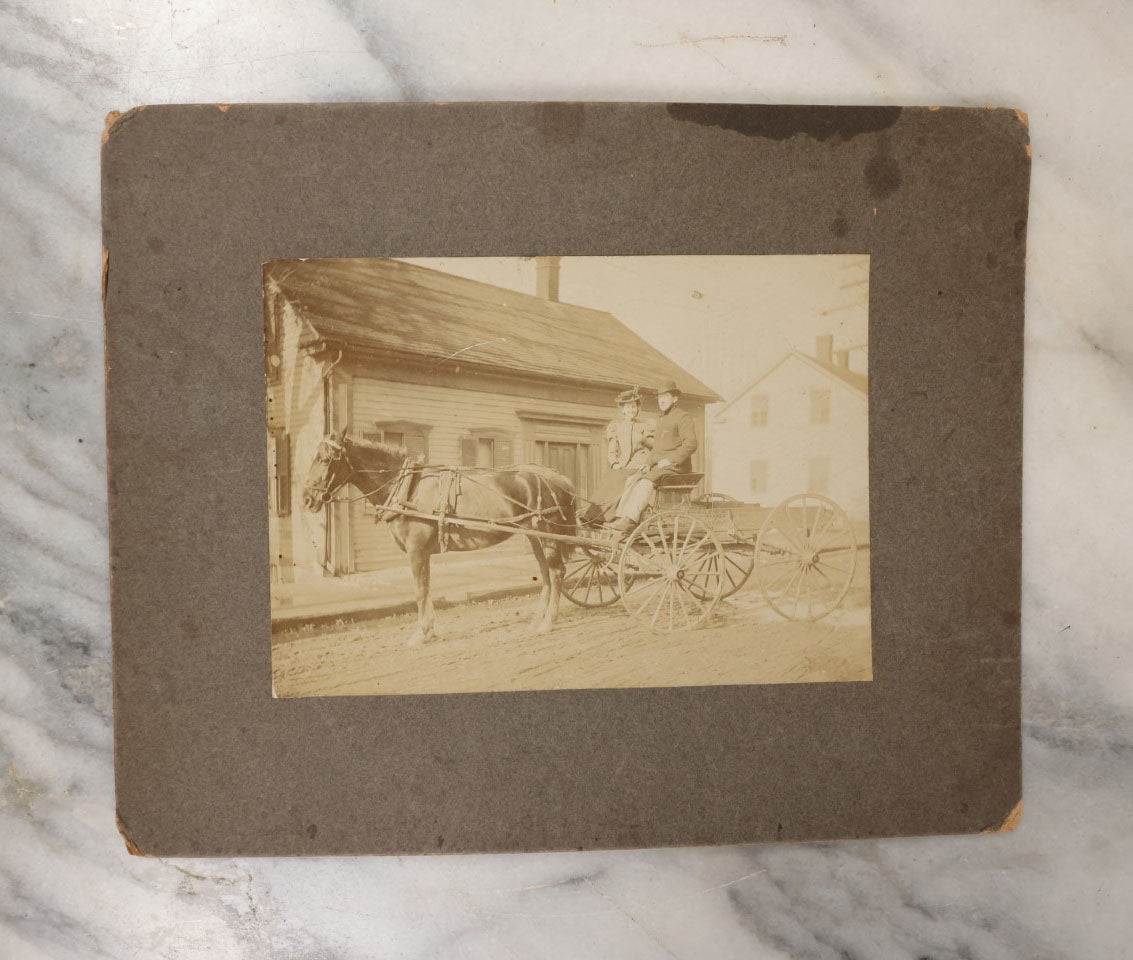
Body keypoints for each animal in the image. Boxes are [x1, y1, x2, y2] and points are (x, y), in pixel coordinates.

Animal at [301, 430, 575, 643]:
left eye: (324, 459)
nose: (306, 499)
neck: (406, 488)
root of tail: (558, 478)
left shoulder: (417, 551)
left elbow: (420, 590)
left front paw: (421, 633)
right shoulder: (423, 553)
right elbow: (427, 587)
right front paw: (430, 630)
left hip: (548, 535)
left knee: (556, 572)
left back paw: (548, 622)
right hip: (534, 536)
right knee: (546, 574)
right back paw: (539, 618)